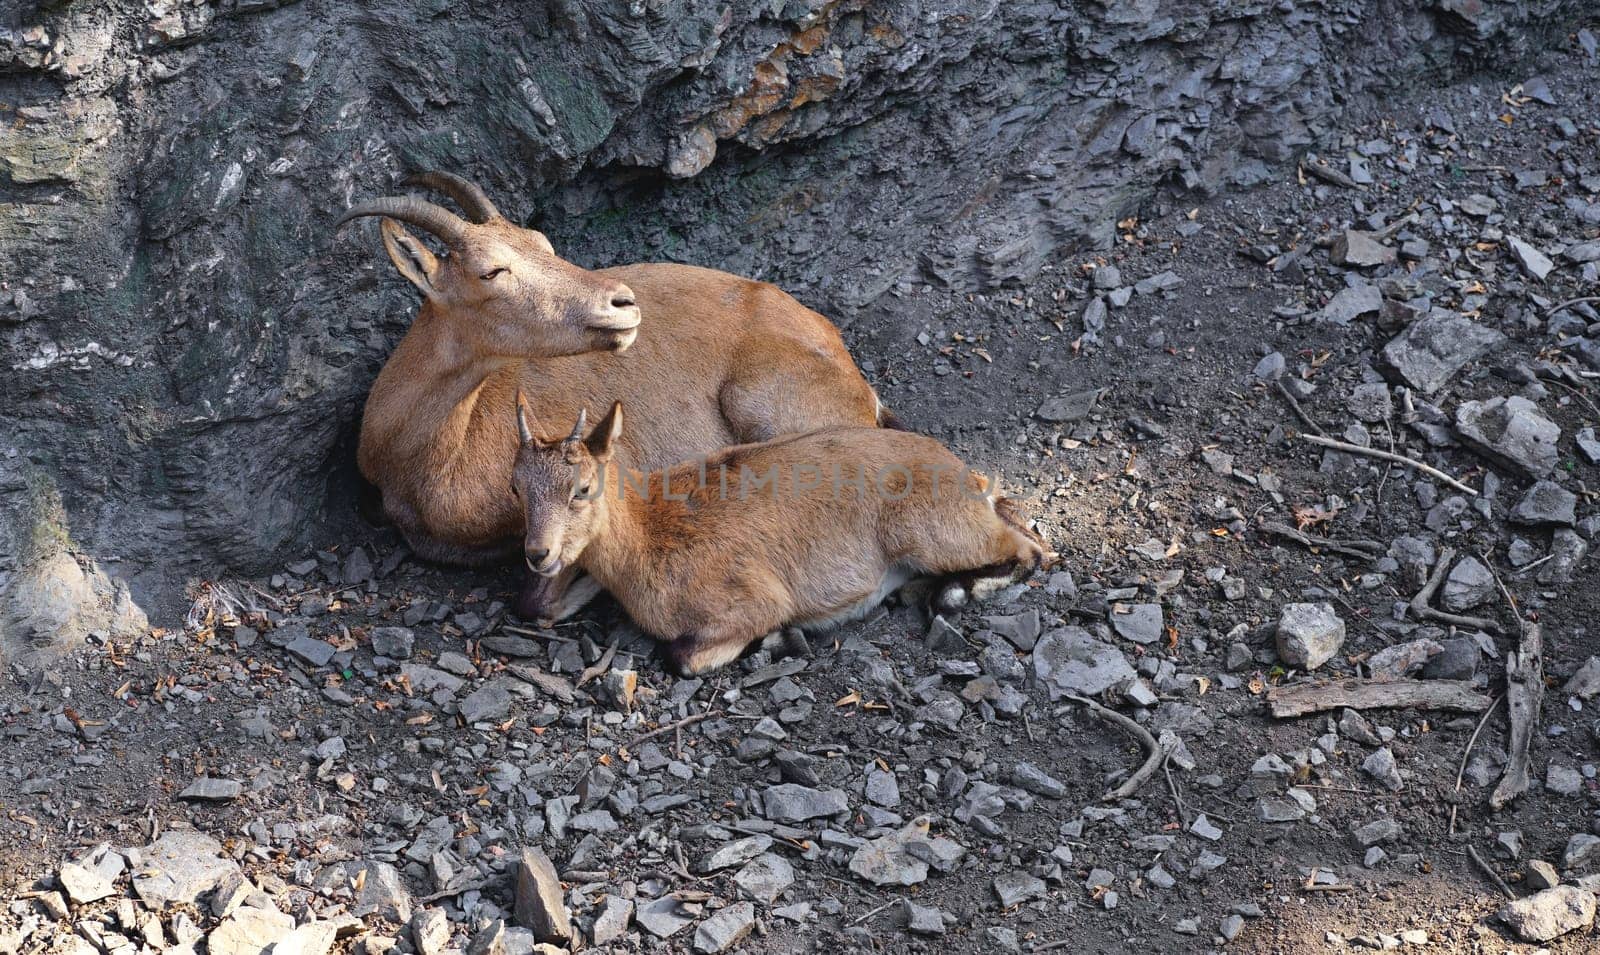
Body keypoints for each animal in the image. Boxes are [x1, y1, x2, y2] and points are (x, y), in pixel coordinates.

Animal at [505, 398, 1043, 675]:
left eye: (582, 488)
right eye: (516, 486)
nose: (537, 554)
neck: (648, 534)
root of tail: (968, 476)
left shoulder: (753, 598)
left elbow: (681, 656)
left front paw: (782, 640)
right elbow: (546, 610)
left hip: (926, 531)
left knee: (1031, 548)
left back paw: (954, 592)